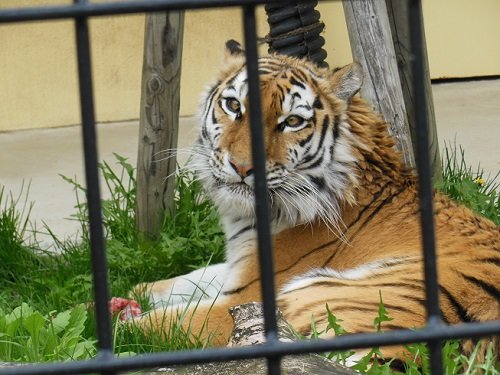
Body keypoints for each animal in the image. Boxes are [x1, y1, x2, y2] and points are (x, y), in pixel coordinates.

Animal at [131, 40, 498, 364]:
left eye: (292, 121)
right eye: (234, 106)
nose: (242, 167)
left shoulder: (246, 297)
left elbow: (162, 323)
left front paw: (122, 319)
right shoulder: (237, 266)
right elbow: (188, 278)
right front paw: (131, 293)